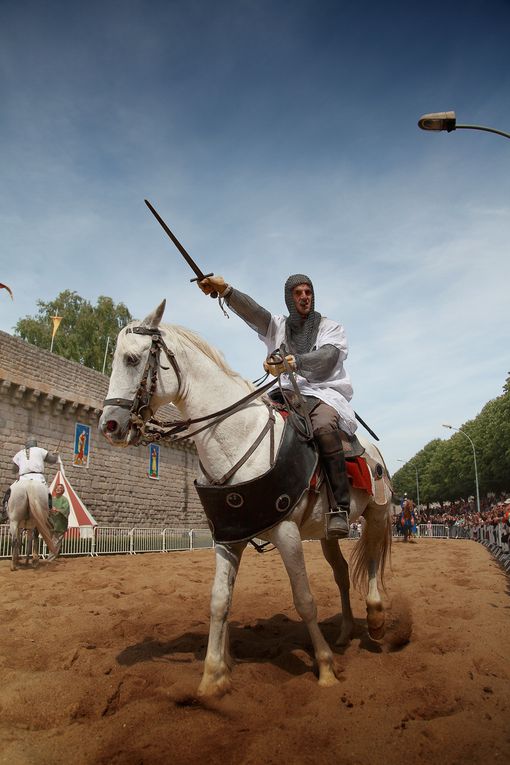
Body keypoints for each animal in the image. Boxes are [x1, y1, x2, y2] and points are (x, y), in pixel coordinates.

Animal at [100, 302, 394, 696]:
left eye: (132, 359)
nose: (109, 425)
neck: (236, 437)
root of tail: (373, 451)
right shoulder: (229, 538)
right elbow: (219, 601)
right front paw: (213, 676)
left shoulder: (286, 533)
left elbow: (304, 599)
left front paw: (325, 668)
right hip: (327, 532)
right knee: (342, 573)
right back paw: (346, 631)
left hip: (377, 513)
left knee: (373, 558)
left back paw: (375, 618)